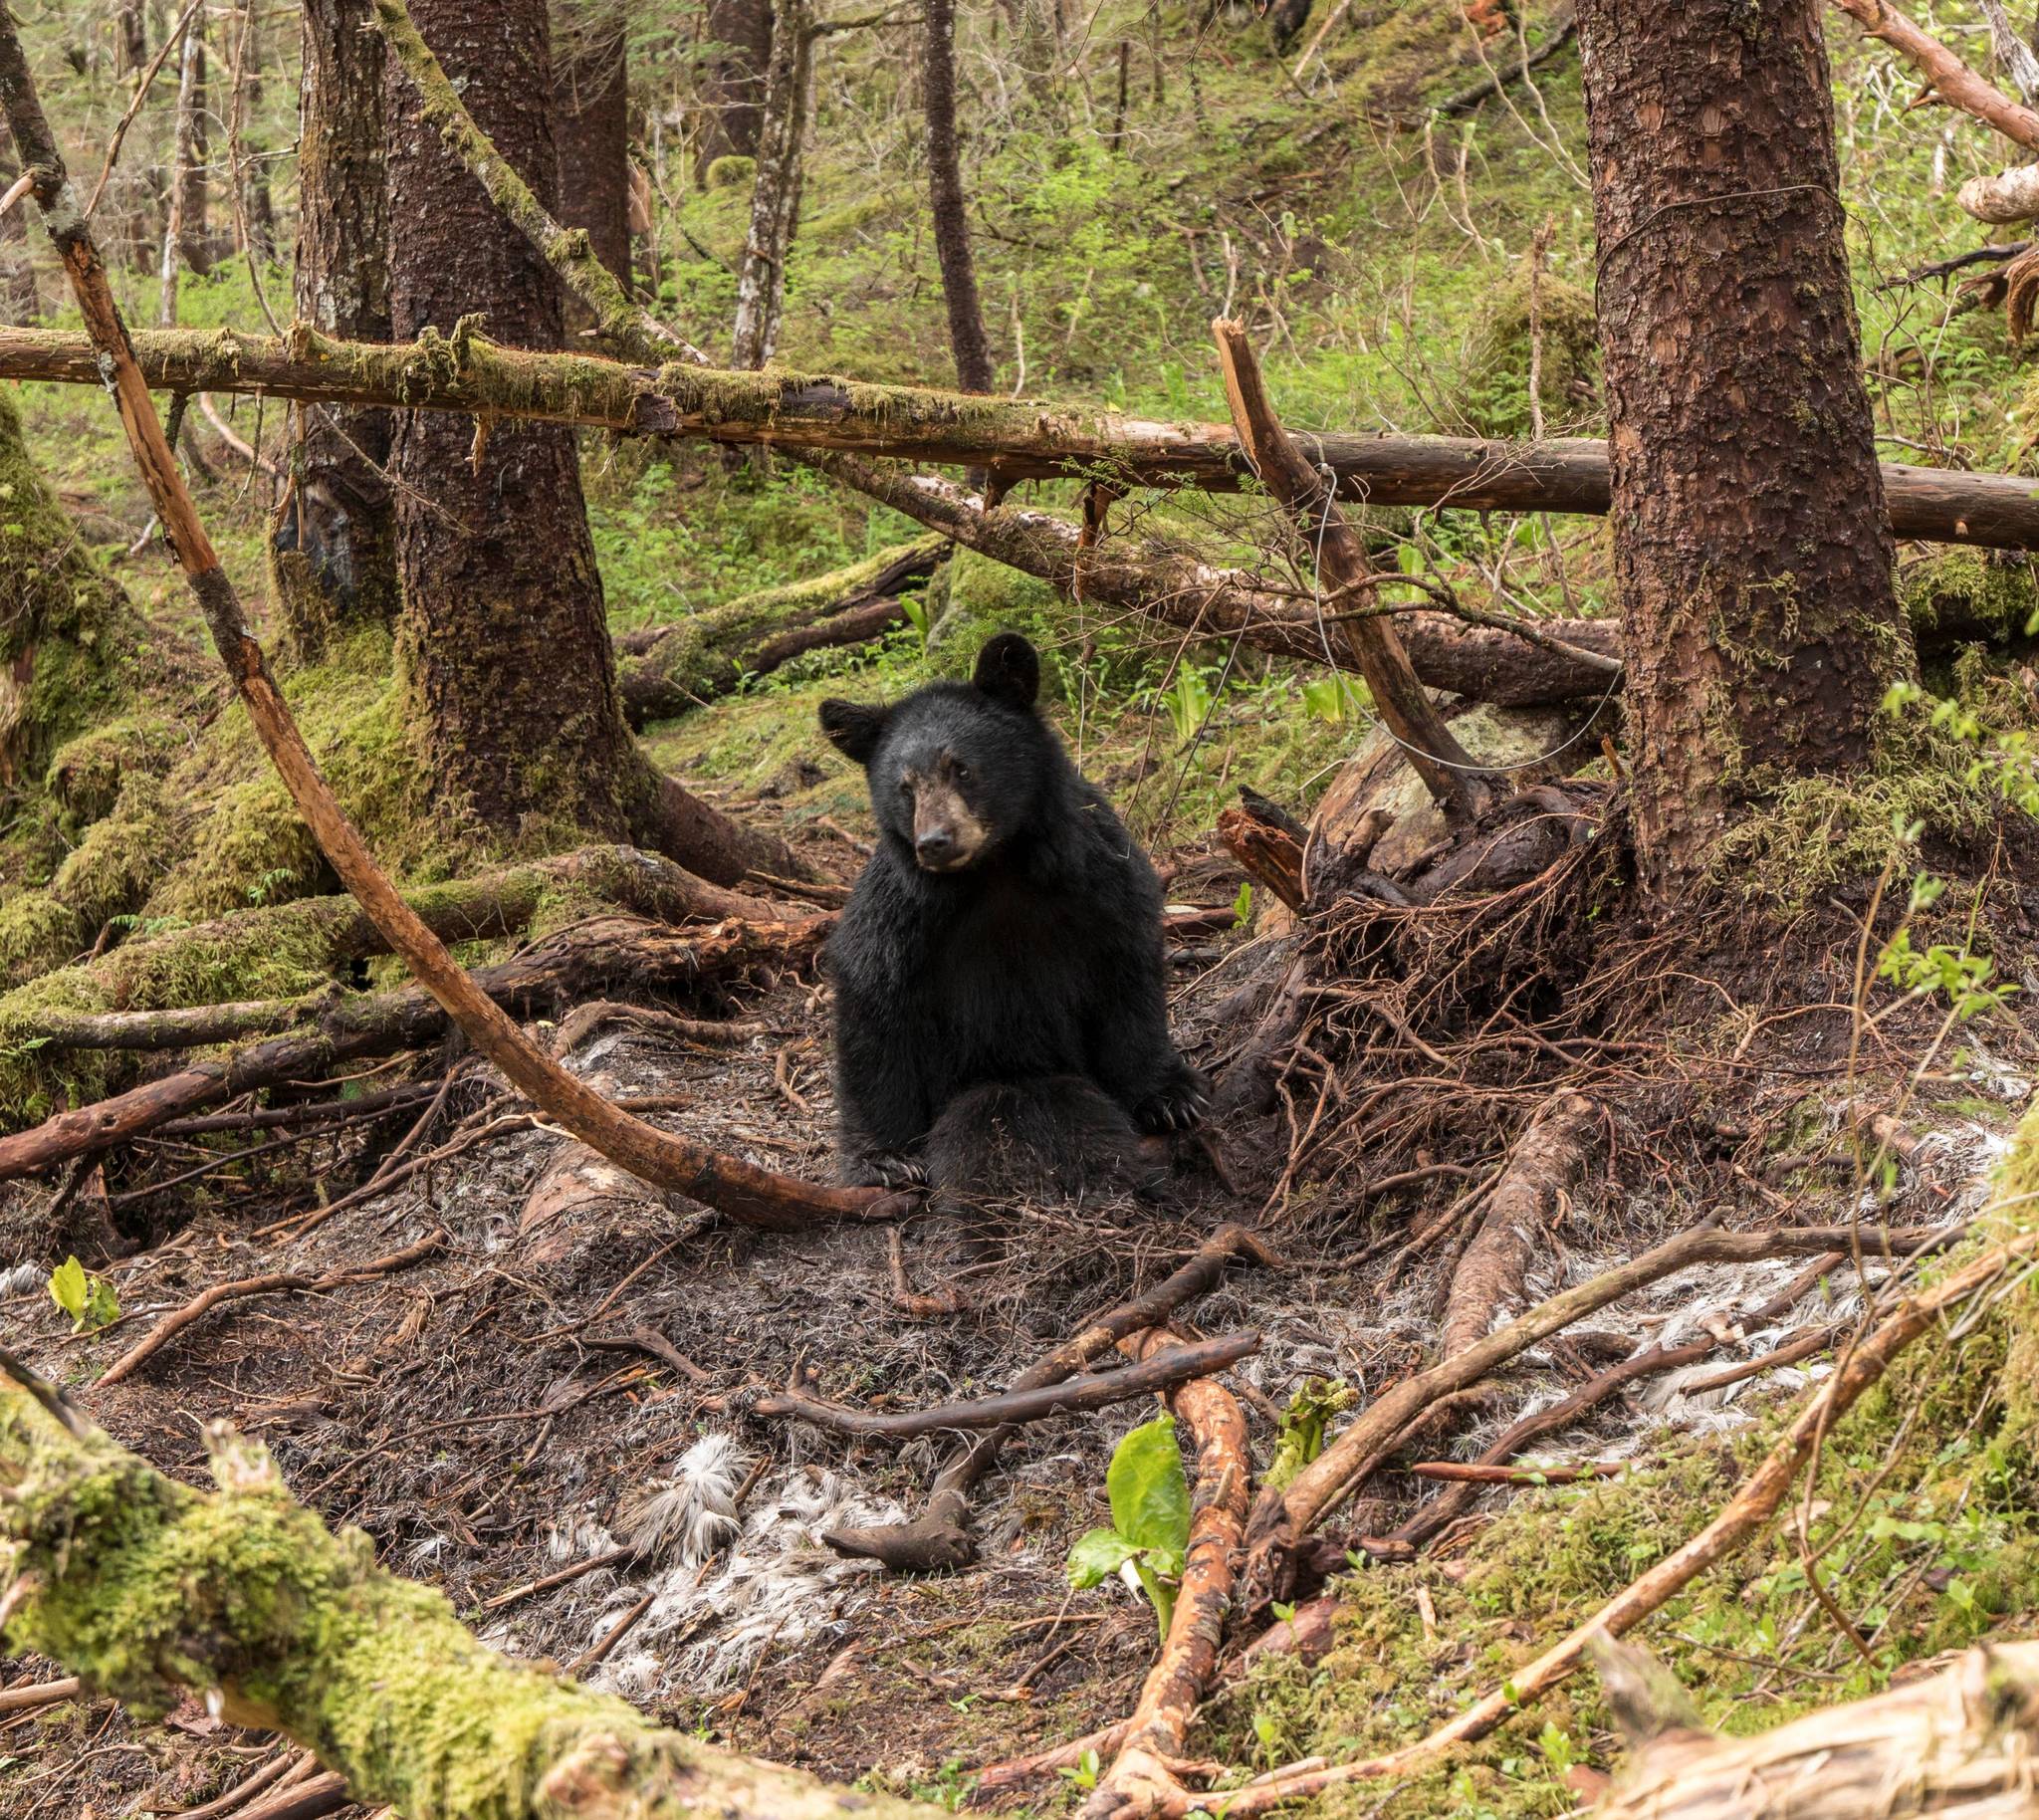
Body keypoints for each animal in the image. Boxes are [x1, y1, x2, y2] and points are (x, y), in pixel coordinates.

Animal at [815, 631, 1199, 1198]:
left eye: (962, 768)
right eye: (905, 788)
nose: (935, 842)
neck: (995, 870)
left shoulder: (1099, 877)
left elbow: (1127, 975)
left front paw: (1171, 1098)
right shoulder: (899, 914)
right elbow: (873, 1003)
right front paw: (886, 1159)